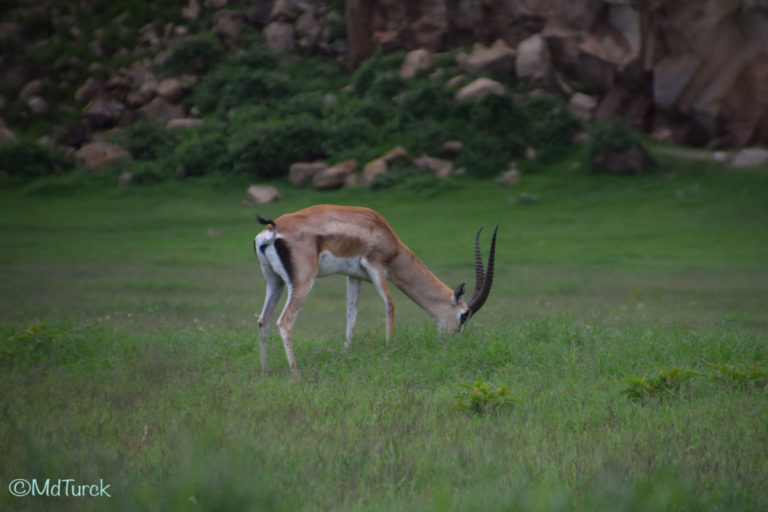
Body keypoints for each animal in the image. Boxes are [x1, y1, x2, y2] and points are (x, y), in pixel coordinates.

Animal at [256, 205, 498, 376]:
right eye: (464, 315)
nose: (455, 340)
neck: (384, 233)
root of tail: (272, 231)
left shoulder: (353, 276)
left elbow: (351, 314)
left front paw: (347, 352)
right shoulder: (376, 266)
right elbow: (390, 304)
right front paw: (389, 350)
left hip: (274, 283)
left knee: (263, 321)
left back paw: (265, 372)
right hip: (302, 283)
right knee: (284, 322)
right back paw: (295, 371)